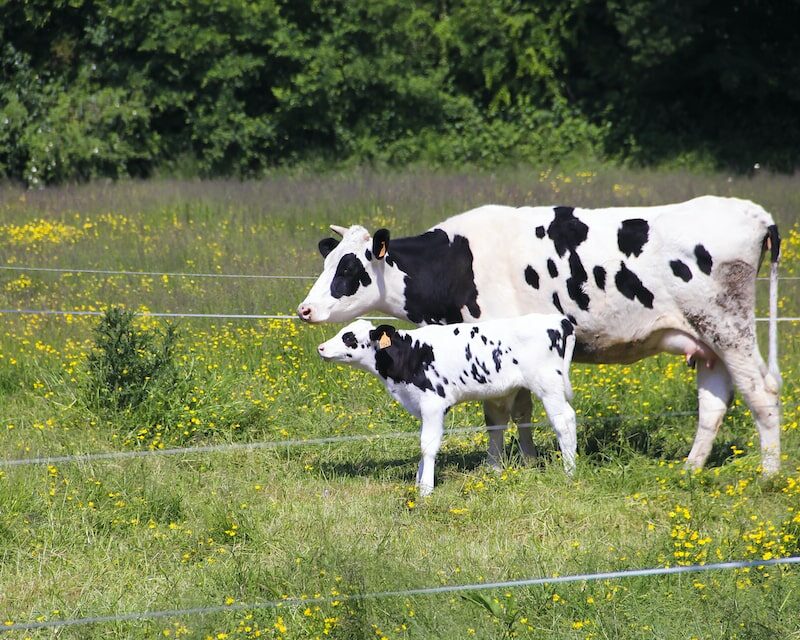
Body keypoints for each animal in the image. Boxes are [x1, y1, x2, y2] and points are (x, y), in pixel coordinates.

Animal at [300, 195, 780, 476]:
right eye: (328, 262)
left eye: (350, 270)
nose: (305, 309)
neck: (458, 261)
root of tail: (755, 213)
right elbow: (523, 411)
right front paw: (529, 463)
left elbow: (496, 413)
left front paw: (496, 469)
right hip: (707, 342)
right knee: (713, 403)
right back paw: (690, 469)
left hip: (730, 327)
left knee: (762, 393)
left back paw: (769, 475)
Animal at [318, 316, 576, 496]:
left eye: (349, 337)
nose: (321, 347)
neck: (411, 354)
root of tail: (559, 320)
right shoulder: (421, 407)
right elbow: (423, 444)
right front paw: (419, 481)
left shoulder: (433, 404)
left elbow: (428, 445)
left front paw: (425, 490)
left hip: (548, 384)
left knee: (564, 420)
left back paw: (570, 471)